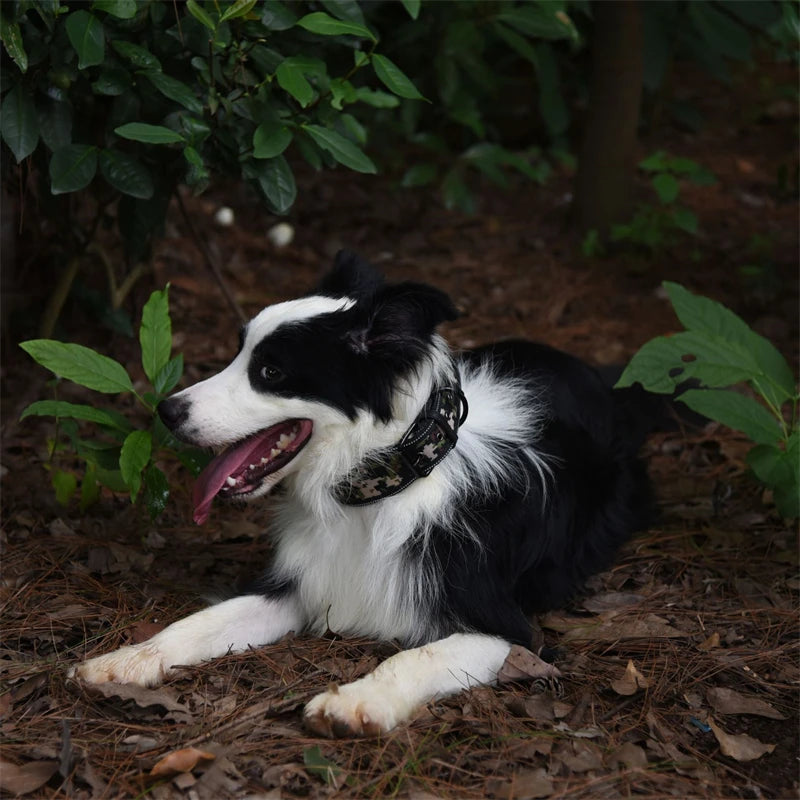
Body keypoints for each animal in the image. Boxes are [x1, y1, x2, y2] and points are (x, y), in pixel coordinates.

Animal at [72, 253, 652, 736]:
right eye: (239, 354)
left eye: (271, 371)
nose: (167, 412)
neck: (380, 485)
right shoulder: (299, 585)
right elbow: (201, 622)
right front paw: (128, 659)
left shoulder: (507, 629)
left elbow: (412, 656)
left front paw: (355, 701)